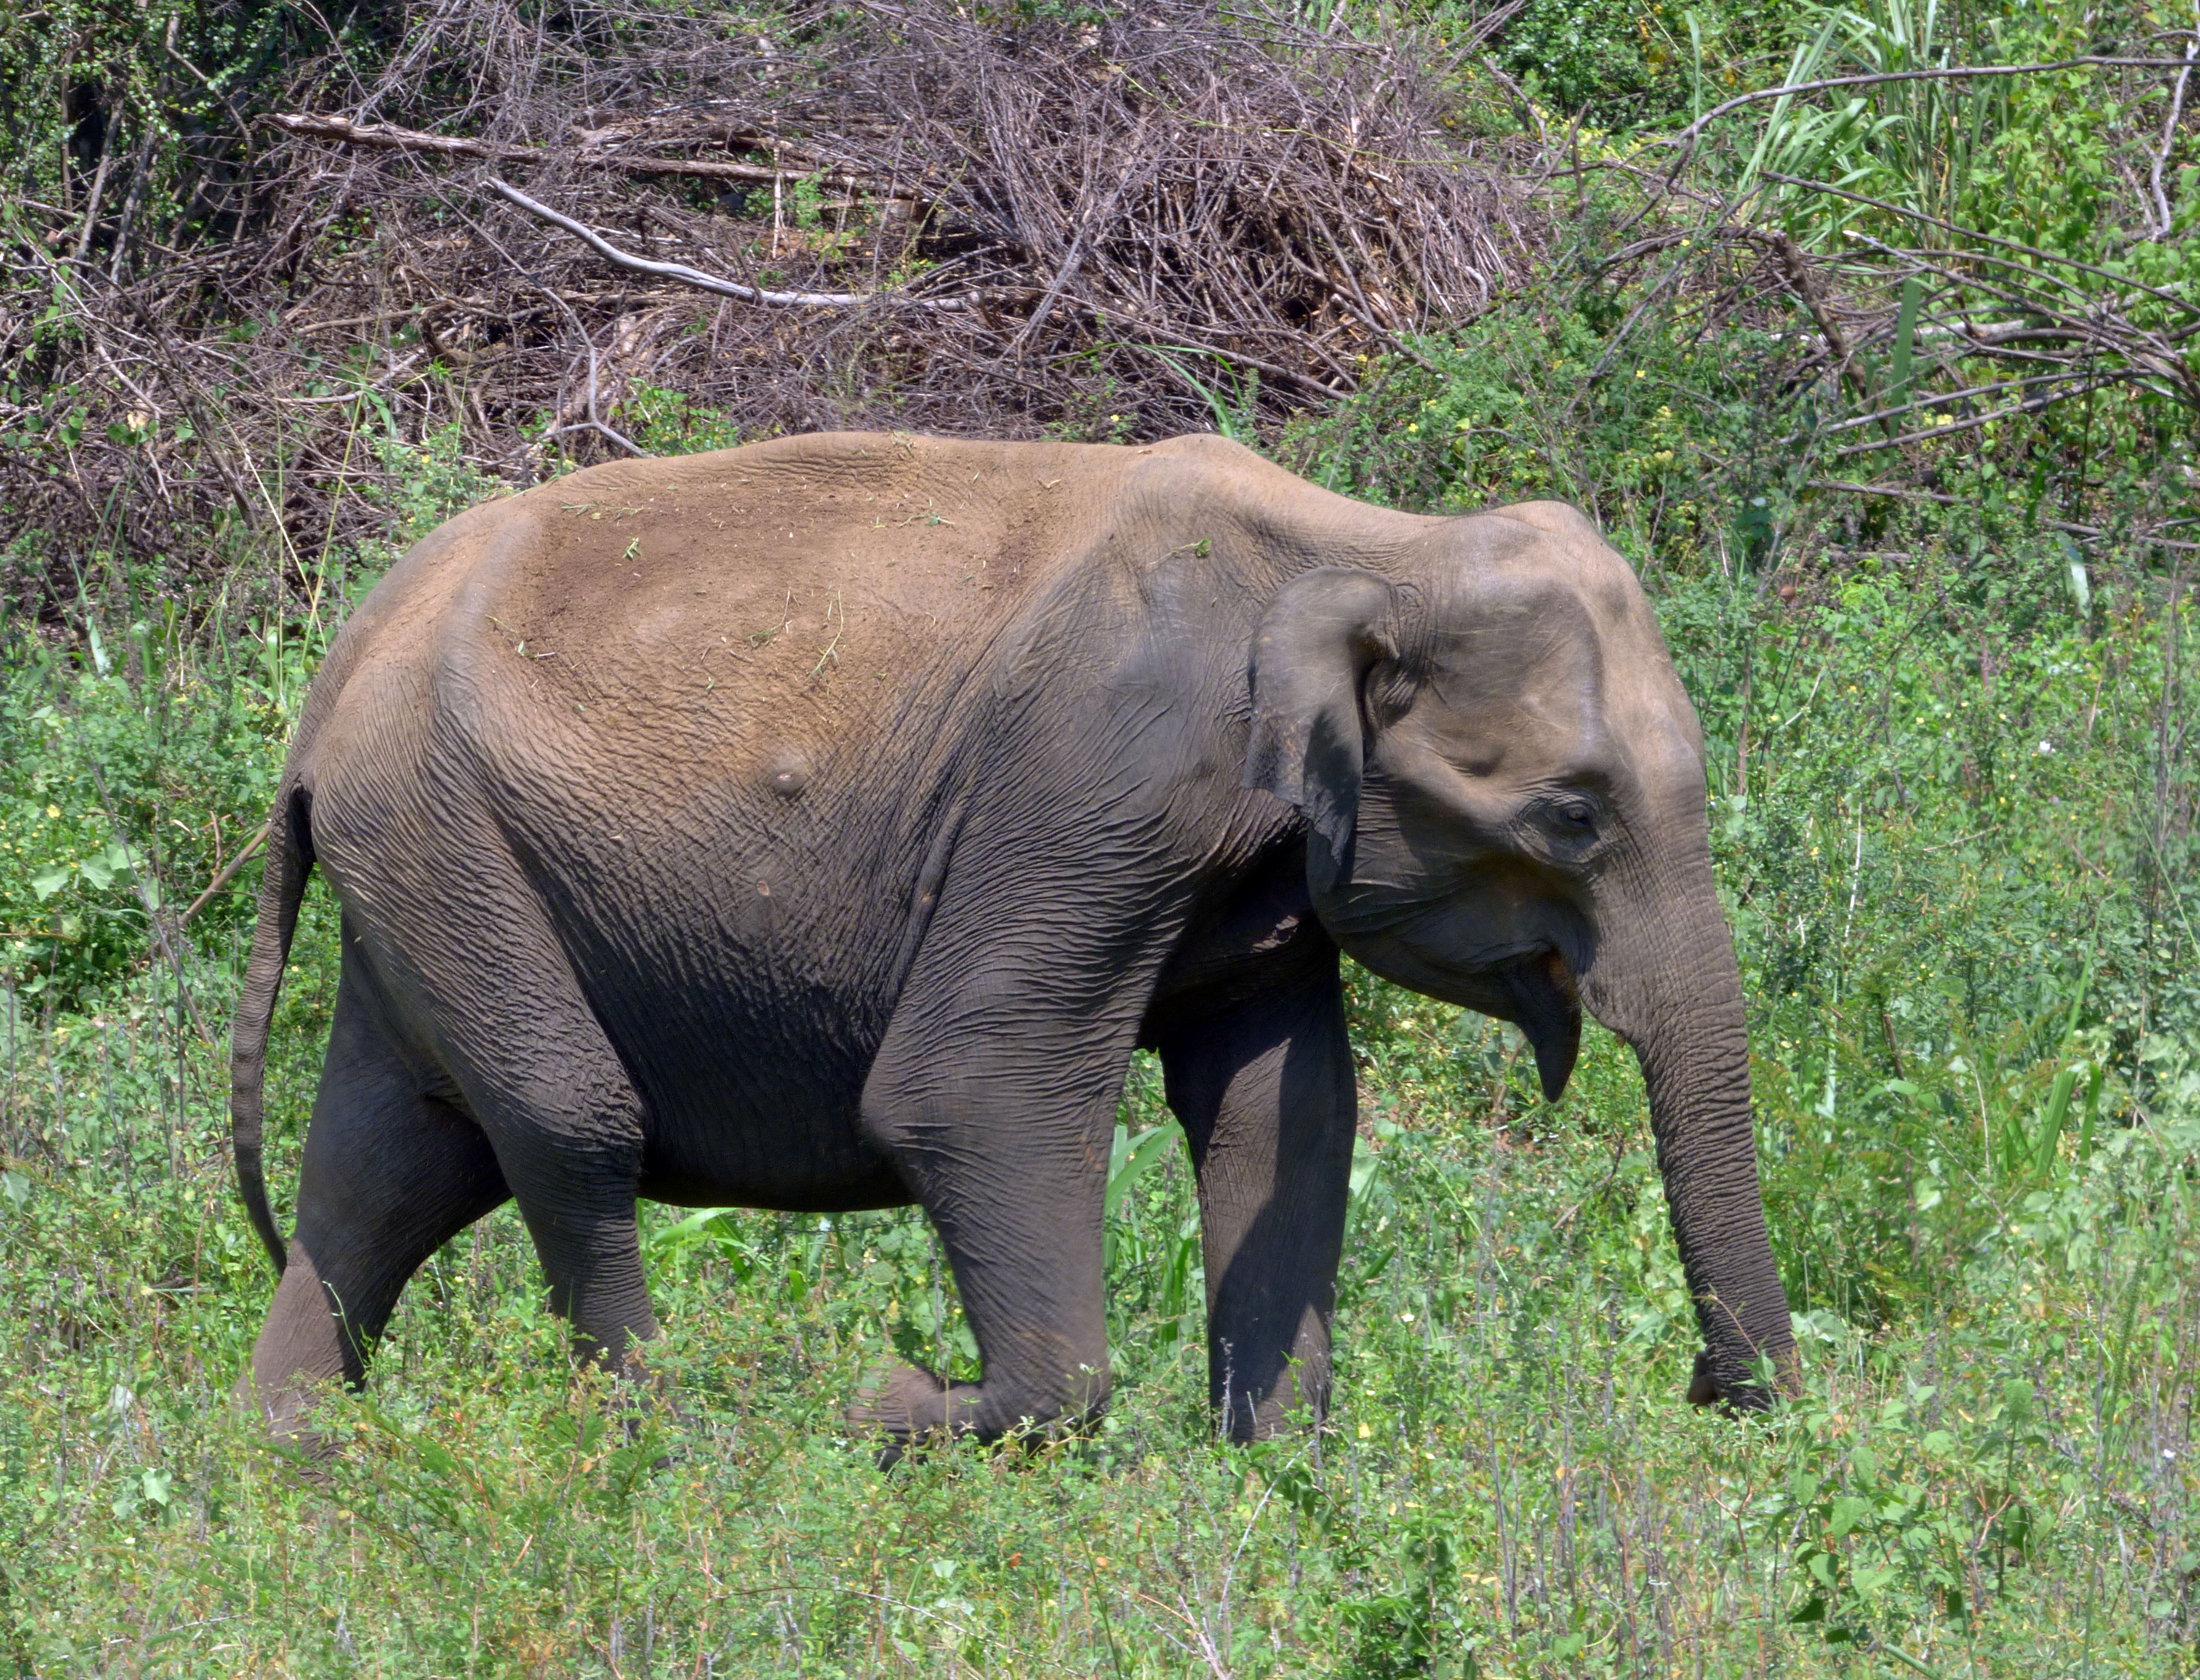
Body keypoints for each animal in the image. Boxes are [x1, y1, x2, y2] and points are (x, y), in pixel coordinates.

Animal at [230, 429, 1797, 1448]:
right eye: (1573, 817)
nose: (1713, 1397)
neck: (1365, 543)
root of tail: (333, 676)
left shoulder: (1264, 863)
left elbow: (1280, 1111)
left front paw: (1274, 1477)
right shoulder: (1091, 784)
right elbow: (966, 1090)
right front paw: (895, 1401)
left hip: (419, 879)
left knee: (384, 1168)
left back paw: (296, 1464)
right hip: (447, 846)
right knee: (563, 1123)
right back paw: (661, 1444)